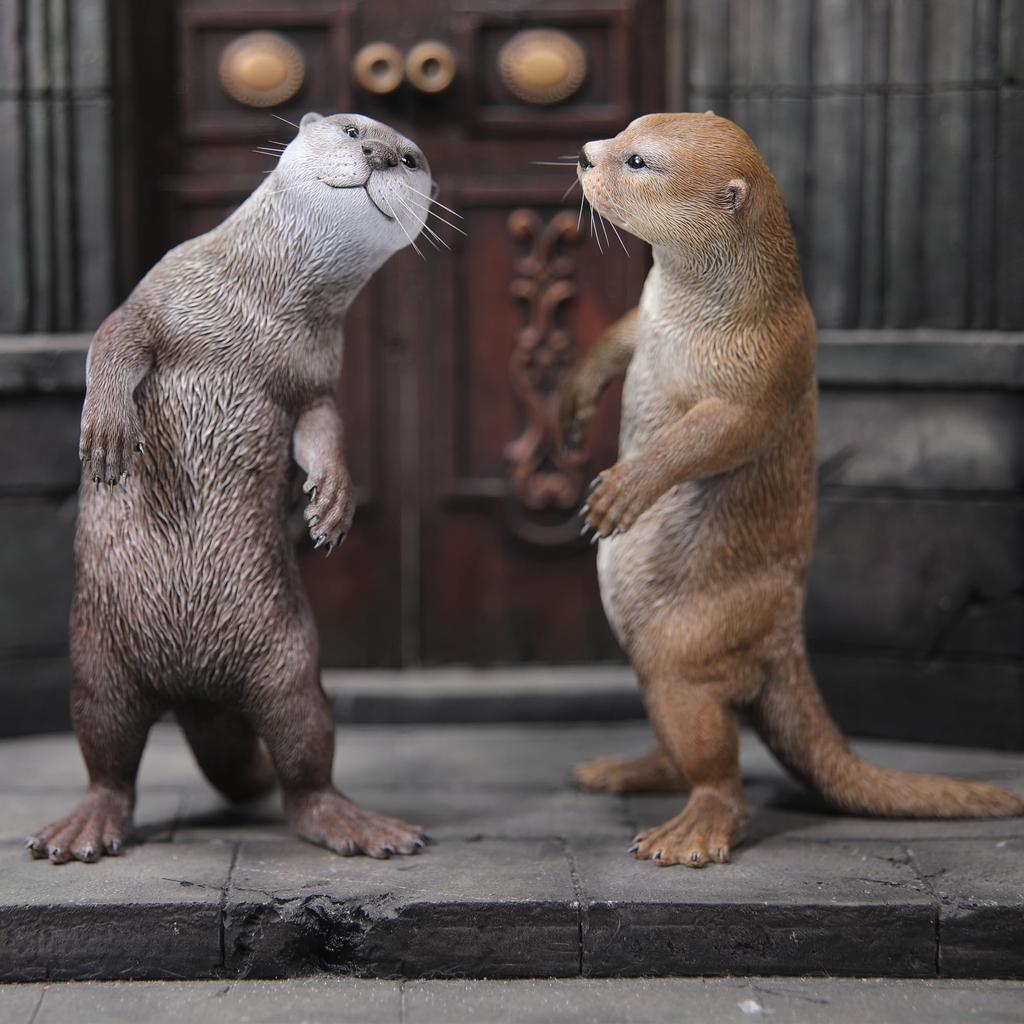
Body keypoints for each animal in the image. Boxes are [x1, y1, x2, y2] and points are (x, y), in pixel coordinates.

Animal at [28, 113, 436, 864]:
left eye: (412, 159)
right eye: (352, 128)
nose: (380, 153)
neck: (258, 315)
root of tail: (195, 691)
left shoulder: (316, 373)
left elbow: (323, 426)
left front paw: (333, 501)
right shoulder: (160, 291)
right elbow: (113, 338)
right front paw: (106, 430)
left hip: (289, 661)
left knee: (305, 757)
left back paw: (357, 824)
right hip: (98, 659)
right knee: (106, 755)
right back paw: (83, 828)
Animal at [560, 112, 1024, 867]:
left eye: (637, 161)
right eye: (624, 130)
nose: (582, 154)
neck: (699, 320)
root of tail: (784, 645)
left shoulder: (764, 368)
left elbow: (712, 436)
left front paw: (623, 492)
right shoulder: (646, 317)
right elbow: (615, 340)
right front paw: (568, 402)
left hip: (690, 645)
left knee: (716, 760)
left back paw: (691, 835)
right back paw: (620, 771)